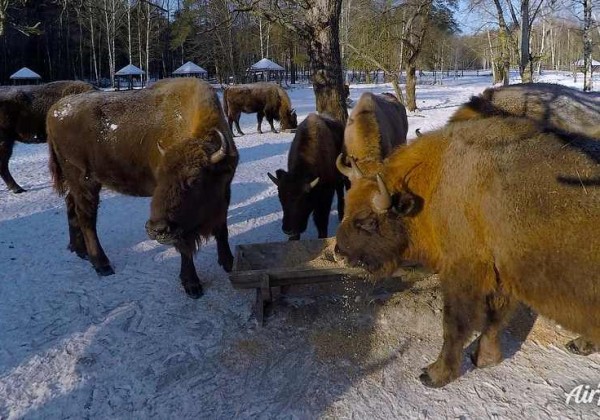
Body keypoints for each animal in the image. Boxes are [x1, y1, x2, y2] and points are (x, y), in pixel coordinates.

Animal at [47, 78, 239, 298]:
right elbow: (185, 247)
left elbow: (222, 228)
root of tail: (54, 110)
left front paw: (229, 262)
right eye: (159, 178)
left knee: (71, 206)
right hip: (85, 182)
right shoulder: (181, 225)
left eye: (195, 179)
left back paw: (79, 251)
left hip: (77, 183)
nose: (155, 229)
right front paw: (192, 285)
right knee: (87, 219)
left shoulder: (225, 193)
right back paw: (102, 265)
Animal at [268, 113, 346, 241]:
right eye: (280, 198)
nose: (287, 230)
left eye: (303, 200)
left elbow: (321, 223)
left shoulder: (325, 197)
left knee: (341, 191)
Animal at [336, 115, 600, 388]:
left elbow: (455, 324)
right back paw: (580, 344)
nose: (339, 253)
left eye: (368, 221)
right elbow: (494, 316)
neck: (439, 178)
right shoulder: (498, 273)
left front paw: (435, 374)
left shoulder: (464, 269)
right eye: (347, 206)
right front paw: (484, 359)